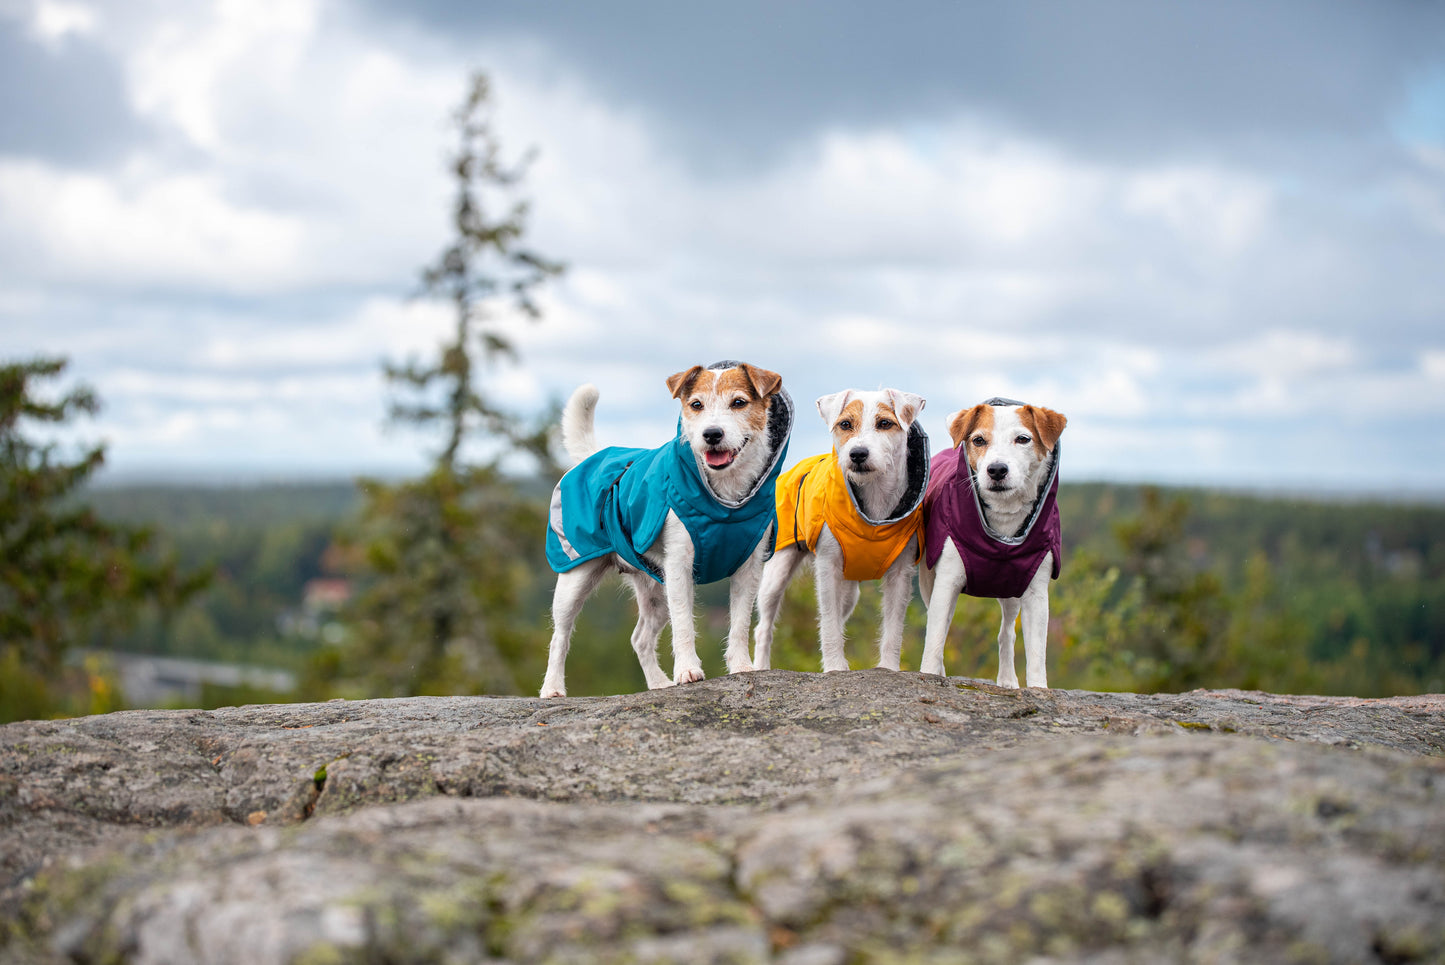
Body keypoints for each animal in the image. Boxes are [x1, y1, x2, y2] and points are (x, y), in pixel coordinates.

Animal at [543, 358, 797, 696]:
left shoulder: (750, 566)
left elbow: (741, 621)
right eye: (696, 405)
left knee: (640, 639)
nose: (711, 434)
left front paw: (742, 666)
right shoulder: (680, 564)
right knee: (559, 636)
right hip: (576, 576)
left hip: (655, 589)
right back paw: (552, 688)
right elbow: (684, 623)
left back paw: (658, 683)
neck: (725, 505)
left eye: (739, 402)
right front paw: (688, 670)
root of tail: (596, 457)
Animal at [751, 387, 930, 676]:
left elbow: (893, 627)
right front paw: (835, 666)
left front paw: (889, 667)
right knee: (763, 626)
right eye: (845, 424)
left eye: (885, 423)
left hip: (849, 593)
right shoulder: (828, 566)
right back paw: (760, 666)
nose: (857, 453)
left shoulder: (901, 572)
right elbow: (828, 622)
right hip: (776, 572)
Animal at [919, 398, 1069, 684]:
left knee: (1006, 633)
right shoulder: (946, 581)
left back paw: (1008, 680)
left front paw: (1038, 688)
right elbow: (935, 637)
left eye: (1023, 439)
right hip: (929, 583)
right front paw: (929, 675)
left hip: (1010, 591)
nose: (997, 469)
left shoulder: (1036, 593)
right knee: (938, 624)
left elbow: (1036, 653)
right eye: (978, 440)